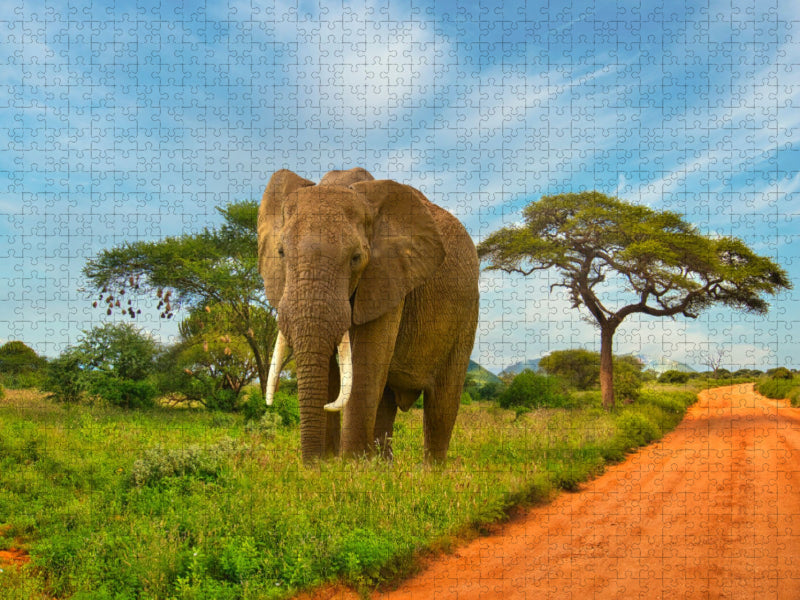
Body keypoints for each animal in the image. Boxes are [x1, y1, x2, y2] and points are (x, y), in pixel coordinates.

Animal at [258, 167, 479, 463]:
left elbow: (365, 362)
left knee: (441, 405)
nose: (311, 465)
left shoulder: (389, 275)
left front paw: (349, 466)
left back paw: (430, 471)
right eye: (281, 253)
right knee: (386, 400)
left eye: (356, 258)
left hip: (467, 314)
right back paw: (380, 467)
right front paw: (329, 465)